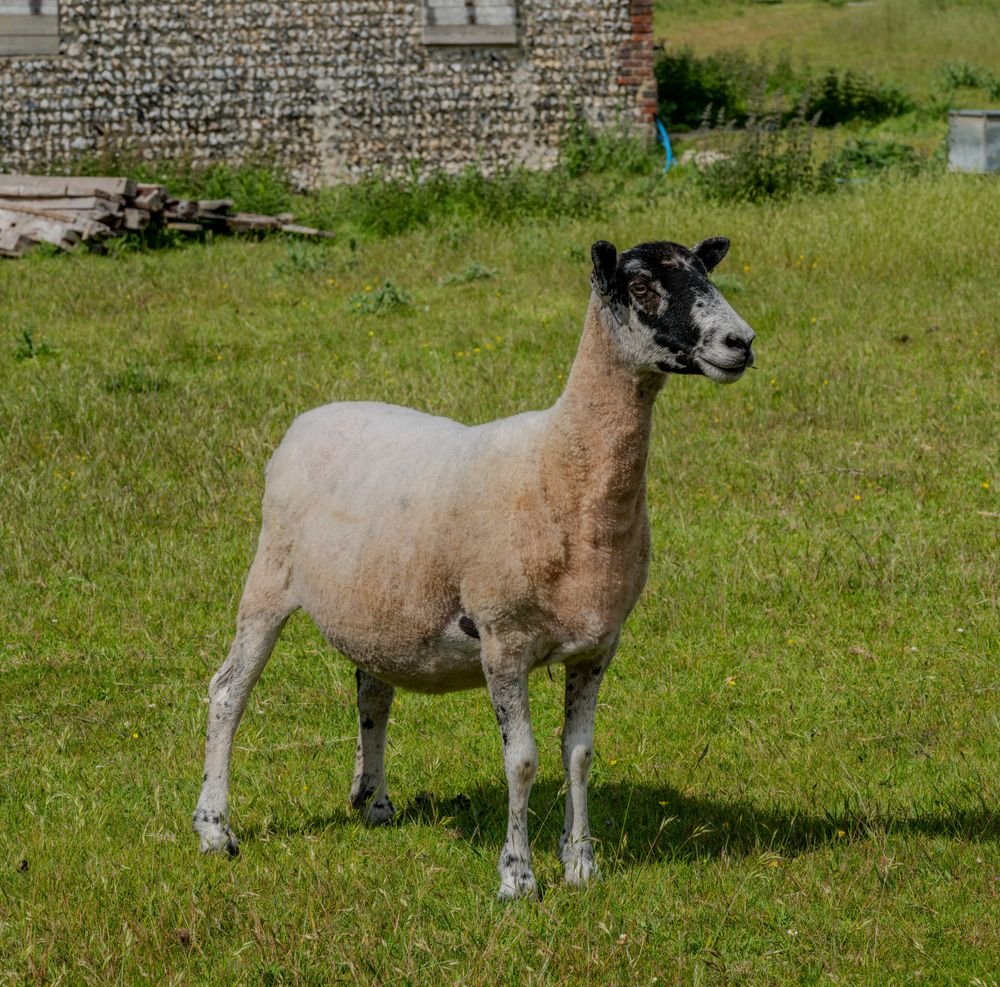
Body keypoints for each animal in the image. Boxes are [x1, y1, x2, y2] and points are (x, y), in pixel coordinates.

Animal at [193, 236, 756, 899]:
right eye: (641, 285)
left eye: (704, 271)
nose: (741, 341)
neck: (560, 468)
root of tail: (309, 418)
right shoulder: (502, 640)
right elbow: (523, 760)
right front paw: (517, 877)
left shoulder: (598, 646)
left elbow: (579, 754)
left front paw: (581, 865)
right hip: (268, 576)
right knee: (229, 692)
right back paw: (215, 829)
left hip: (381, 605)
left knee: (372, 691)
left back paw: (375, 803)